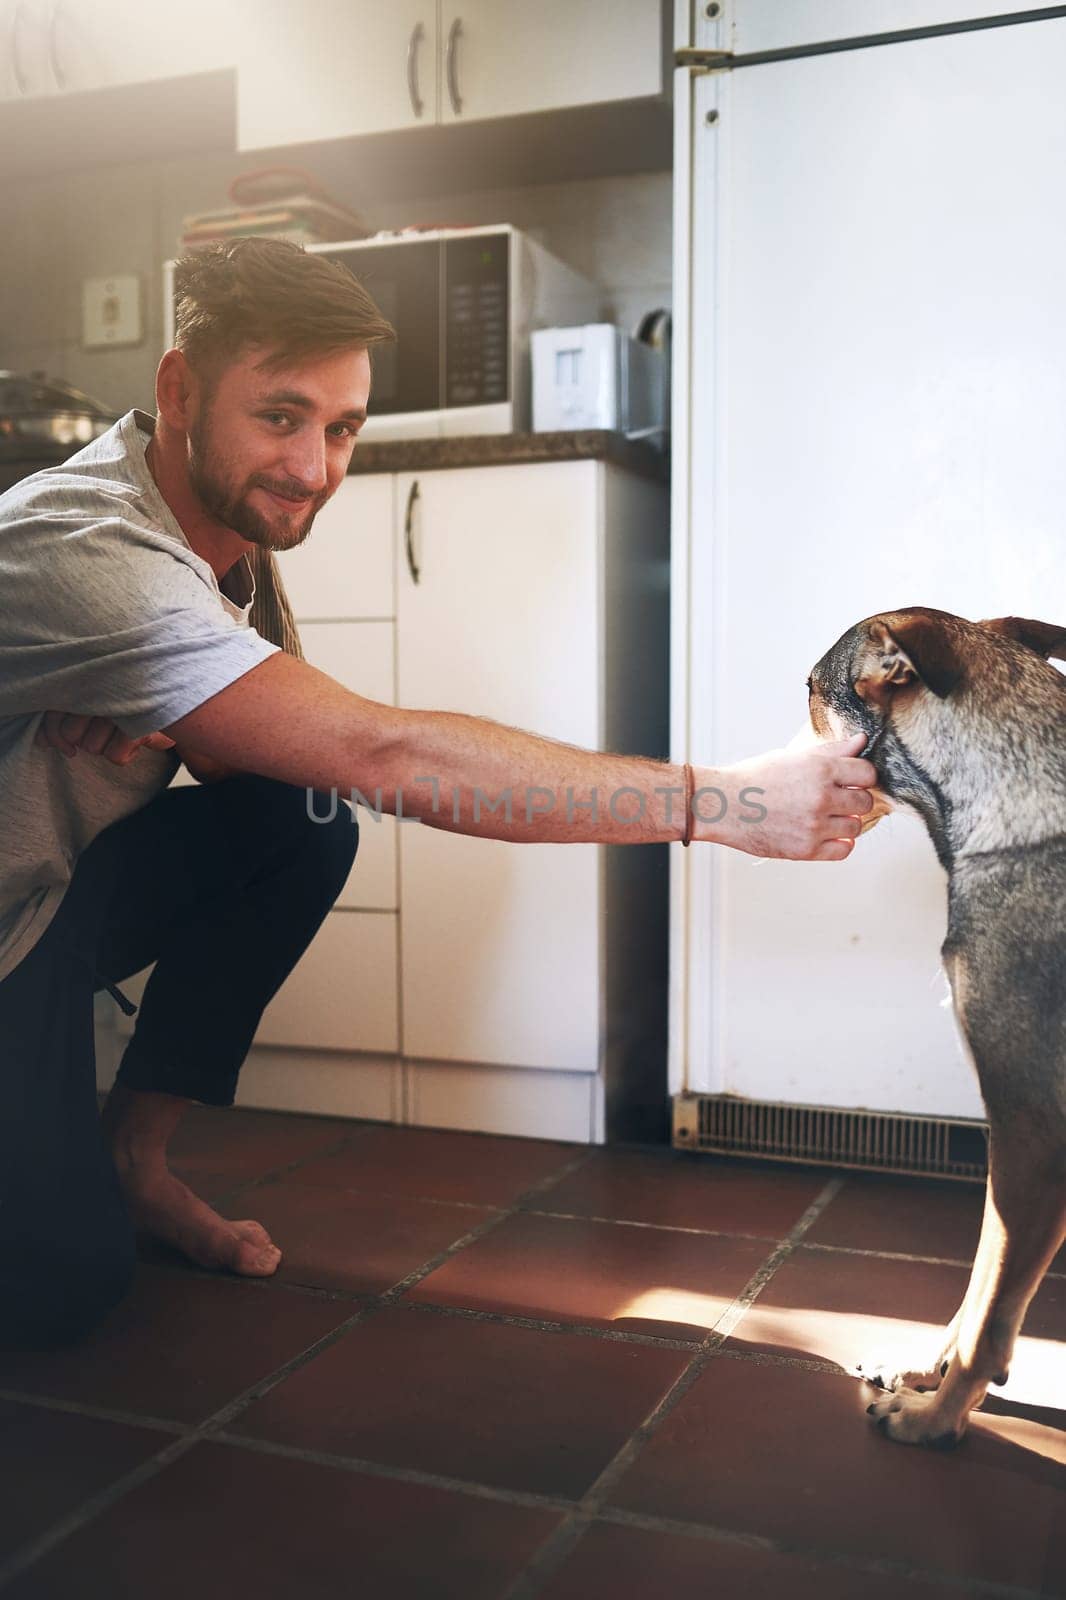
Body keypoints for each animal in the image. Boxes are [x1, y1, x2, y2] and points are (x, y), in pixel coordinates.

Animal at [806, 601, 1062, 1452]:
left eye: (811, 688)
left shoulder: (1029, 1134)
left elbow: (991, 1314)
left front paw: (937, 1420)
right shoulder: (1008, 1145)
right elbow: (979, 1286)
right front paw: (929, 1370)